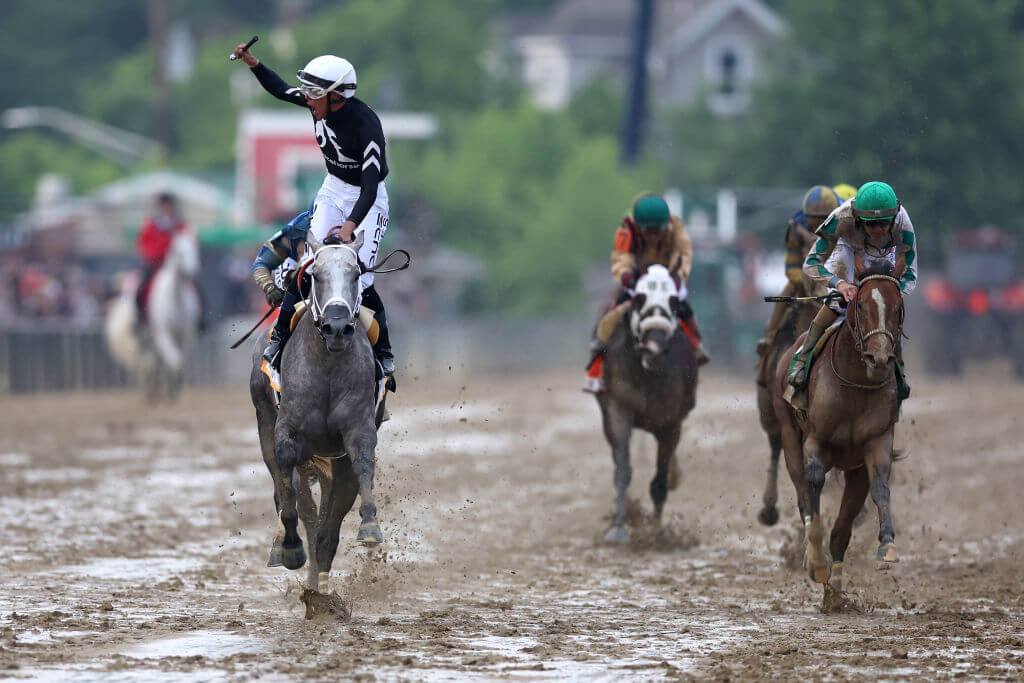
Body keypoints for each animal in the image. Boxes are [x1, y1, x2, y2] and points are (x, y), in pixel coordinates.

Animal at [106, 231, 201, 401]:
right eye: (179, 252)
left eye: (195, 249)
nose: (192, 271)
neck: (175, 297)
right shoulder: (163, 333)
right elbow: (173, 358)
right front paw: (174, 382)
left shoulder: (186, 333)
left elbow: (180, 358)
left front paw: (176, 385)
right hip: (144, 337)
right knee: (148, 361)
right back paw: (152, 391)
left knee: (156, 360)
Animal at [598, 264, 700, 540]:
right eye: (640, 298)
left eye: (673, 301)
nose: (654, 346)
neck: (647, 372)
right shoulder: (618, 407)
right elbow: (623, 471)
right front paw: (618, 528)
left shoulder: (671, 422)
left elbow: (660, 481)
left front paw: (656, 532)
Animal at [770, 274, 909, 593]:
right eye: (860, 304)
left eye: (898, 307)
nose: (879, 357)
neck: (855, 385)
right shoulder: (816, 441)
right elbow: (813, 483)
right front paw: (817, 561)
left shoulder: (875, 444)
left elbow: (879, 488)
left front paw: (887, 545)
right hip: (788, 435)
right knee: (803, 493)